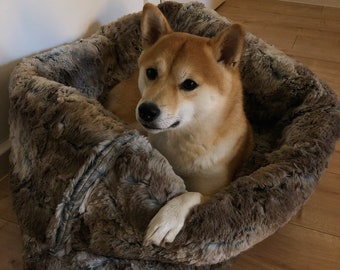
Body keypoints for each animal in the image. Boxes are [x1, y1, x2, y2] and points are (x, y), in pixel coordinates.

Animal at [106, 3, 252, 247]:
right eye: (151, 72)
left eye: (189, 84)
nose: (146, 110)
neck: (183, 138)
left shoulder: (216, 192)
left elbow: (190, 194)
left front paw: (167, 218)